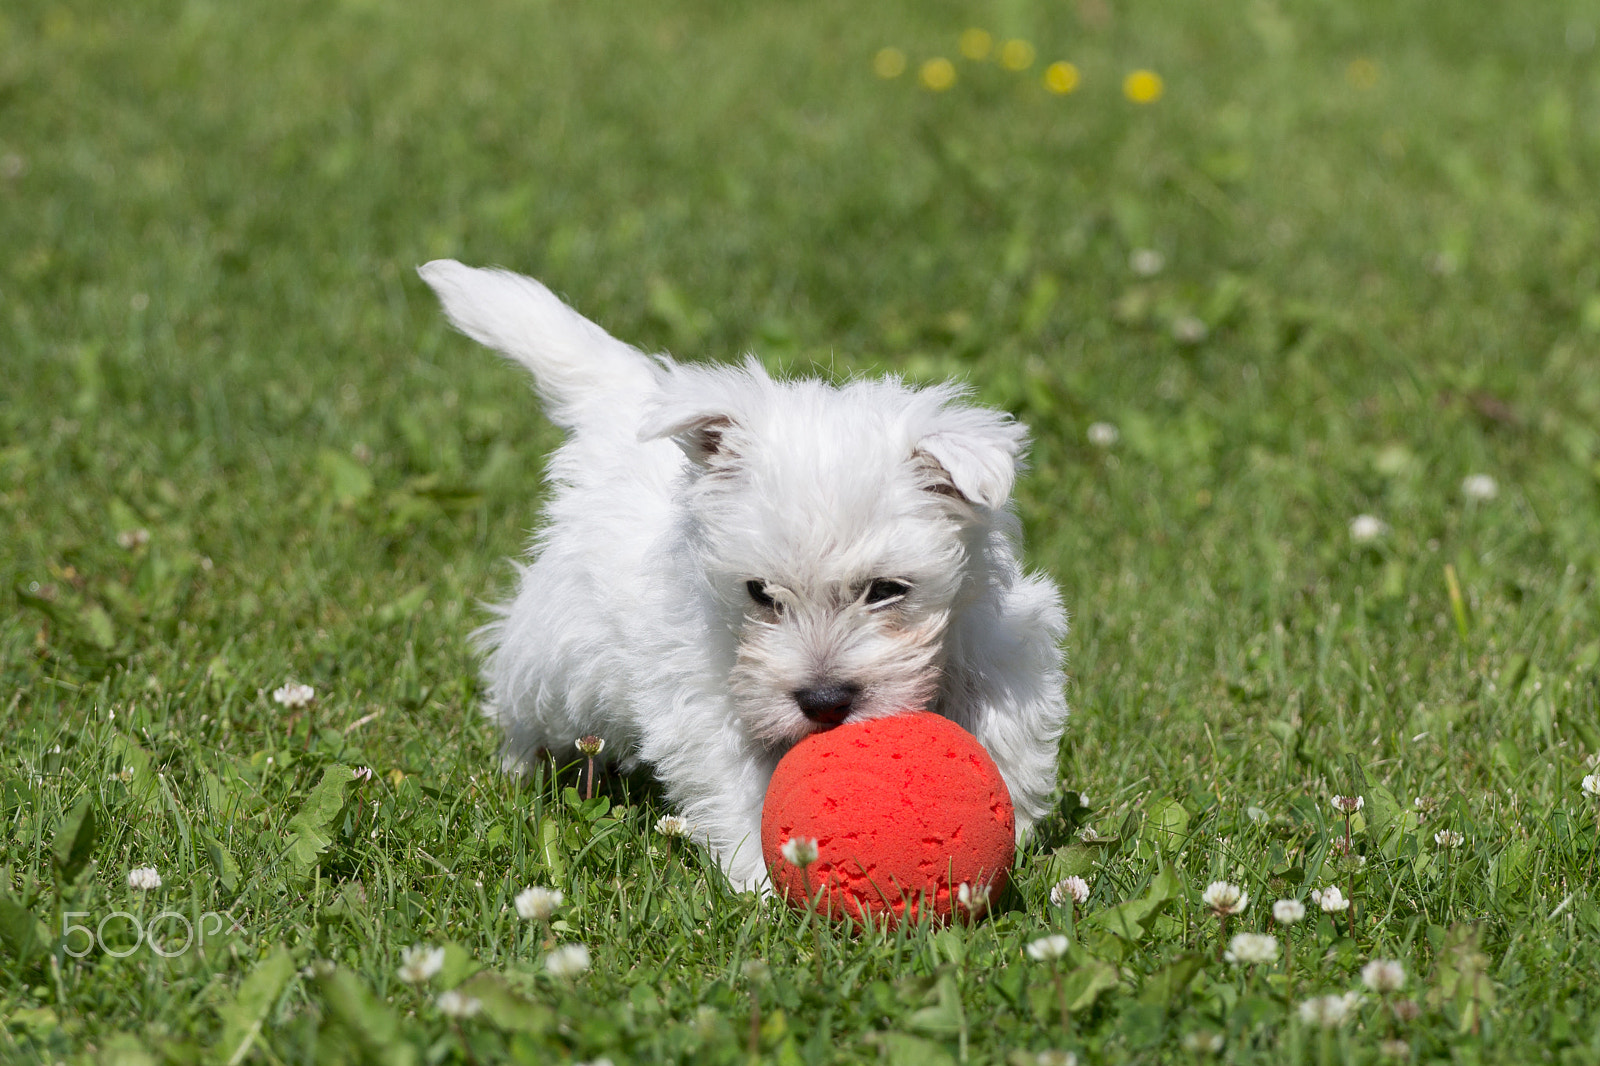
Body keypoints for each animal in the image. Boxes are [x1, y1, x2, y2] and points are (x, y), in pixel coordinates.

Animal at [419, 259, 1068, 889]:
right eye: (759, 593)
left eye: (886, 590)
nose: (824, 701)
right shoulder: (704, 688)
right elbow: (736, 781)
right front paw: (760, 881)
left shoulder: (1000, 636)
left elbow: (1009, 716)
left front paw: (1011, 813)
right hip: (554, 654)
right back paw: (520, 770)